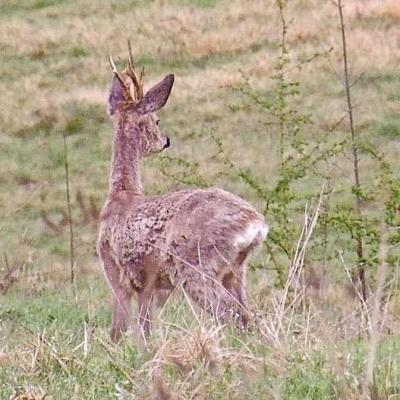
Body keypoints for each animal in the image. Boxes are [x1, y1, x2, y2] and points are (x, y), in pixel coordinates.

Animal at [97, 46, 268, 340]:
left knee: (234, 314)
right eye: (156, 120)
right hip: (235, 270)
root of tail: (255, 224)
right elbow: (145, 330)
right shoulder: (150, 287)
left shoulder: (115, 271)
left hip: (196, 267)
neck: (121, 194)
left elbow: (118, 331)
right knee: (247, 315)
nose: (166, 141)